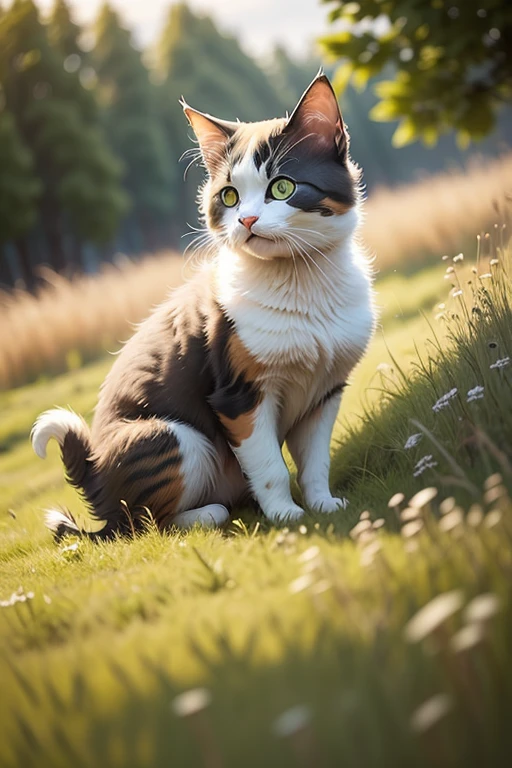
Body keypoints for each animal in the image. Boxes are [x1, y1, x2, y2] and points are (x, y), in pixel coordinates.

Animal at [32, 73, 376, 540]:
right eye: (229, 196)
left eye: (282, 187)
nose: (246, 220)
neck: (301, 281)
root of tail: (97, 485)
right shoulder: (239, 393)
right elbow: (270, 465)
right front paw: (287, 515)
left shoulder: (325, 390)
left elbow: (315, 461)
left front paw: (324, 504)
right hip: (173, 436)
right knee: (143, 525)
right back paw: (210, 513)